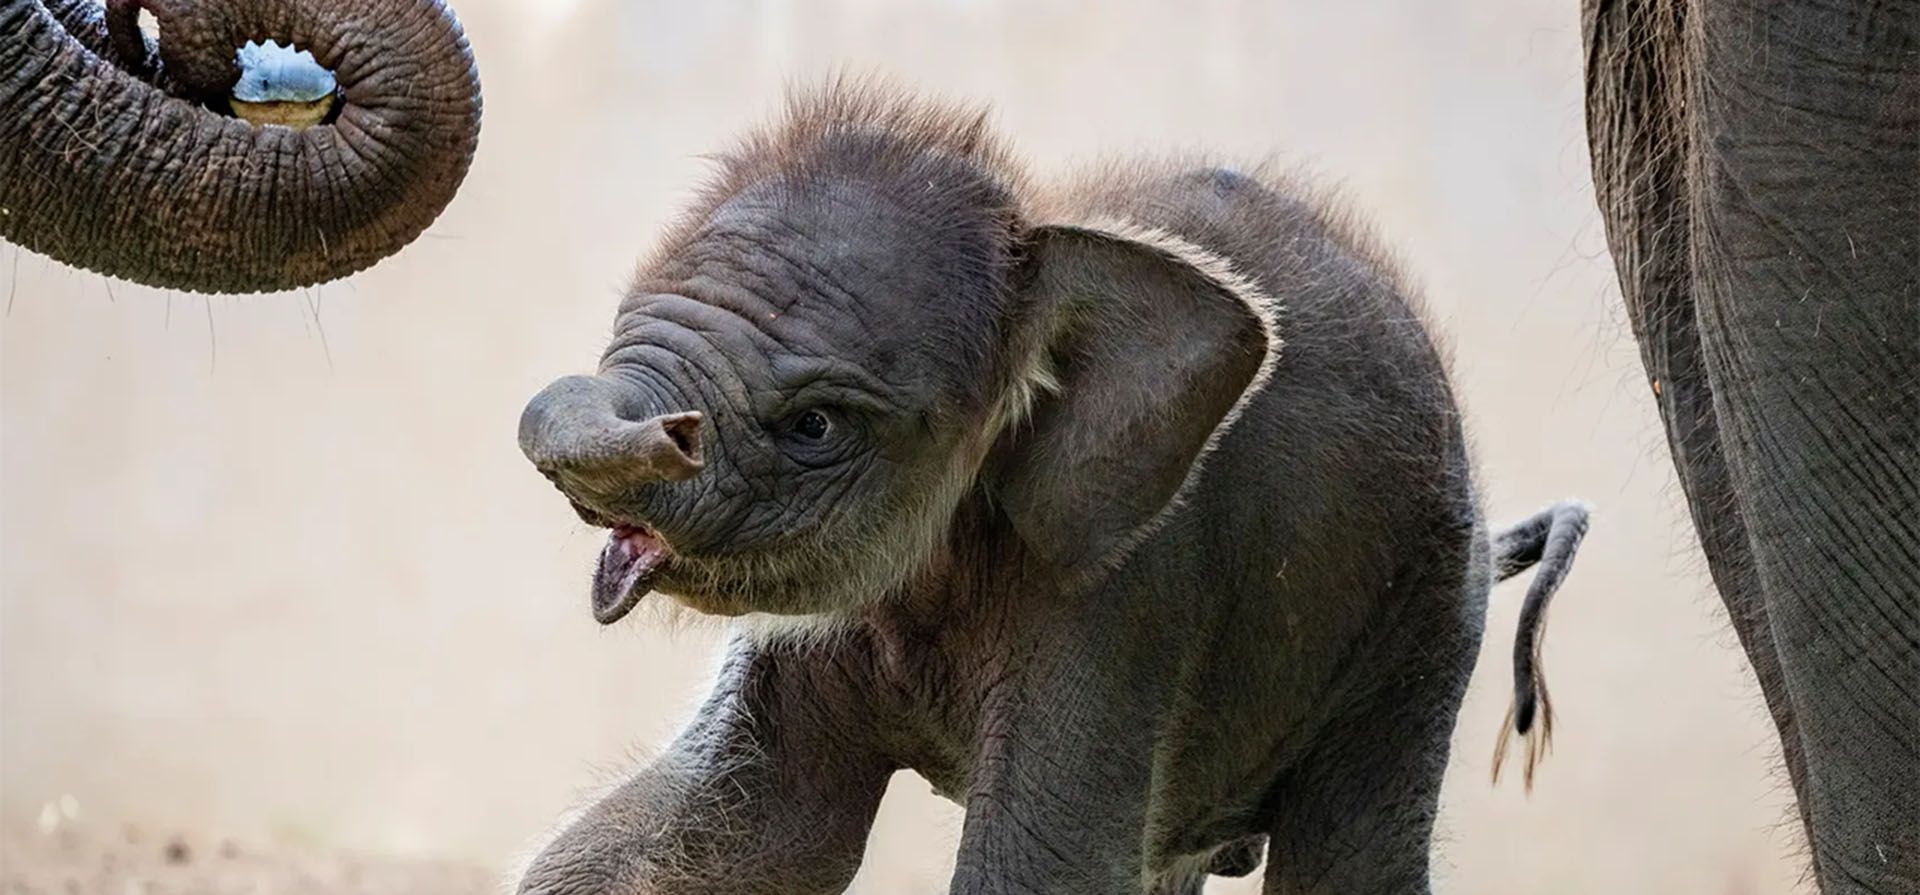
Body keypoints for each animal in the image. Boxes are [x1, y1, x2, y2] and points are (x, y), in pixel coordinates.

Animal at [512, 83, 1591, 894]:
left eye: (816, 425)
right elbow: (722, 837)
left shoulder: (1132, 589)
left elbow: (1038, 866)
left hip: (1421, 617)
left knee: (1349, 859)